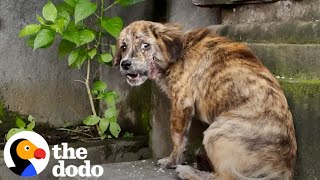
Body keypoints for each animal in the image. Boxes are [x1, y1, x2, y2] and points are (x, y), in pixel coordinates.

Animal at [113, 20, 298, 179]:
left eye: (146, 45)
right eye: (123, 46)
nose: (125, 64)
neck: (179, 53)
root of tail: (284, 168)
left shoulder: (181, 103)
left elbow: (178, 138)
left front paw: (172, 161)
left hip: (215, 132)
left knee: (225, 177)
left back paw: (188, 172)